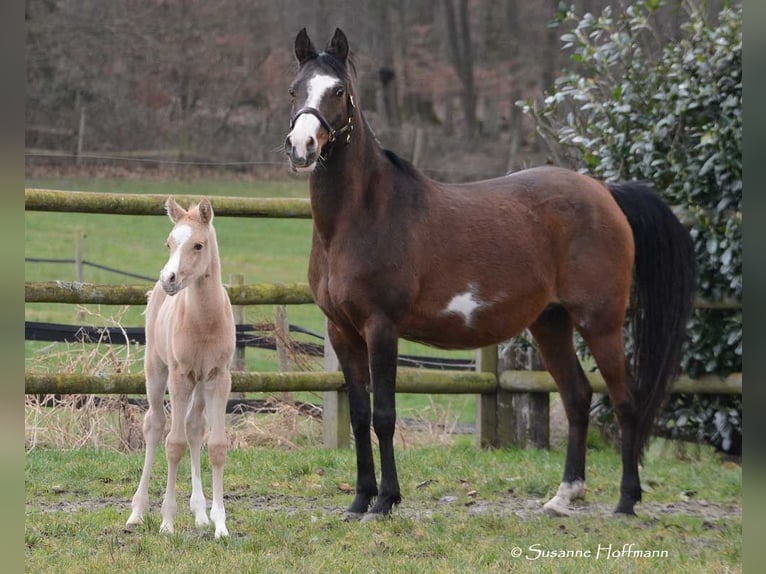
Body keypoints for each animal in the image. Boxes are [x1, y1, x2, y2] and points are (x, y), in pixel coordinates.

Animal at [126, 199, 236, 540]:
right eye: (169, 243)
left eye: (198, 245)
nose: (169, 278)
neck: (204, 320)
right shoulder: (179, 376)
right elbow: (172, 444)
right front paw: (167, 522)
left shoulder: (218, 377)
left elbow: (216, 444)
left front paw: (220, 524)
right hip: (156, 368)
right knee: (155, 425)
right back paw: (137, 512)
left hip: (199, 383)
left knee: (194, 427)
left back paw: (200, 513)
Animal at [284, 28, 700, 520]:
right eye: (294, 90)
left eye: (337, 91)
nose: (302, 147)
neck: (362, 216)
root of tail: (605, 192)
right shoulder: (342, 330)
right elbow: (359, 414)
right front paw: (360, 499)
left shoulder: (381, 327)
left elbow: (384, 415)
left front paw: (386, 500)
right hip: (551, 323)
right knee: (578, 397)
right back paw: (565, 495)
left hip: (600, 321)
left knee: (625, 401)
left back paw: (626, 500)